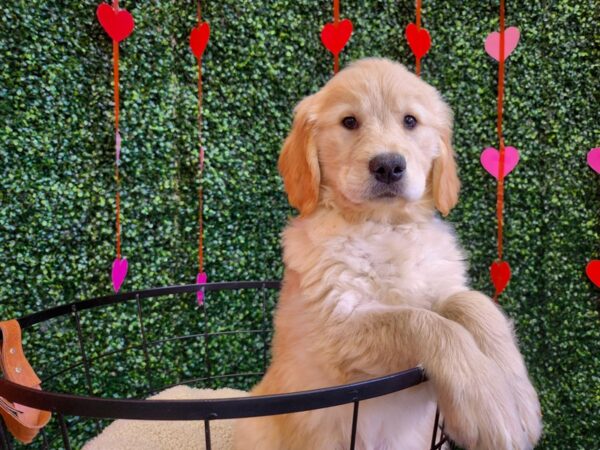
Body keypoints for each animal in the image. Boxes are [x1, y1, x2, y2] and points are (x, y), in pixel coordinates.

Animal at [233, 58, 540, 448]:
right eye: (349, 121)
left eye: (410, 120)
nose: (389, 166)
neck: (386, 225)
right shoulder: (337, 328)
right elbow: (422, 322)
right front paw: (488, 408)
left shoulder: (439, 285)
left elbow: (474, 303)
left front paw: (519, 400)